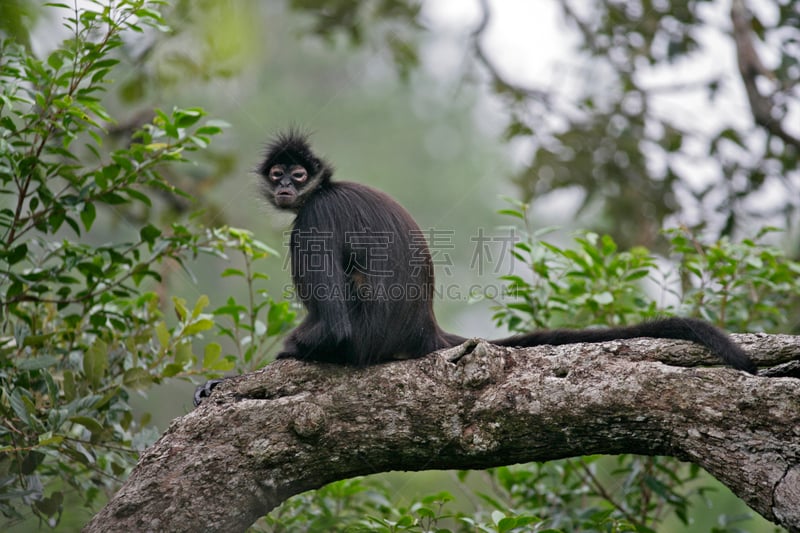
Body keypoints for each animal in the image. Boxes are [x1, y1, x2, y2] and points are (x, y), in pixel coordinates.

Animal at [194, 131, 756, 406]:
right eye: (277, 174)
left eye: (298, 175)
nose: (286, 187)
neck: (323, 190)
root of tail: (422, 327)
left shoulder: (312, 220)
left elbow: (332, 327)